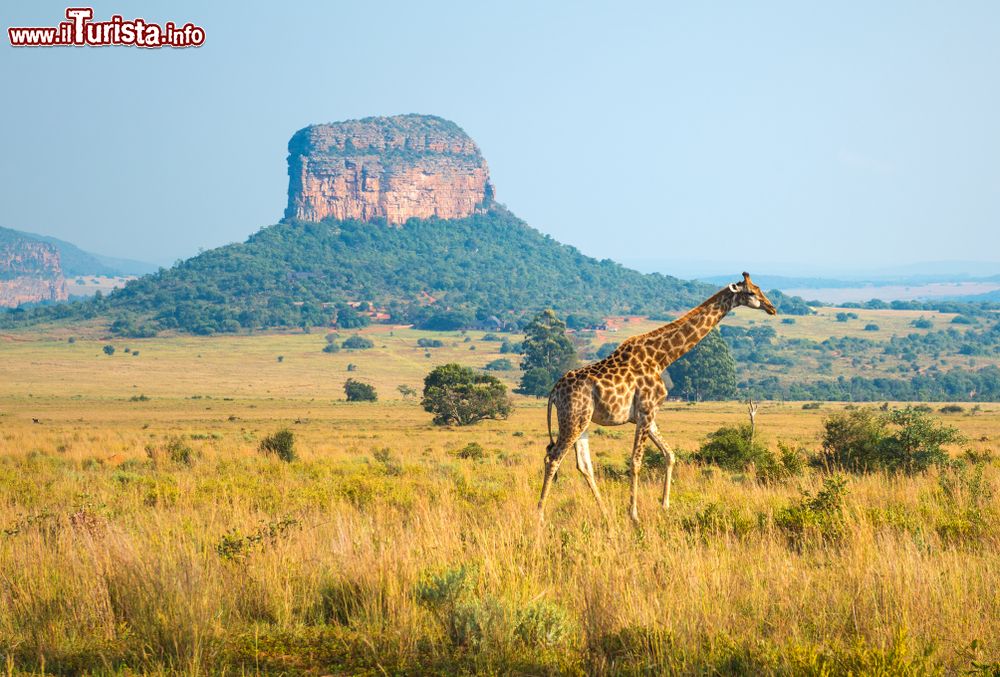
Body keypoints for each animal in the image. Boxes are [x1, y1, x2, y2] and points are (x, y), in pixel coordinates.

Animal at [536, 270, 776, 524]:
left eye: (759, 289)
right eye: (751, 292)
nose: (772, 307)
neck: (662, 358)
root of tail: (554, 391)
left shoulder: (648, 415)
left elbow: (669, 455)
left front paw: (665, 506)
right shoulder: (645, 411)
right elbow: (636, 461)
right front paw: (634, 514)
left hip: (583, 422)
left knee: (583, 465)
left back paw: (605, 513)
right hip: (573, 419)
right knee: (553, 458)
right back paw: (540, 515)